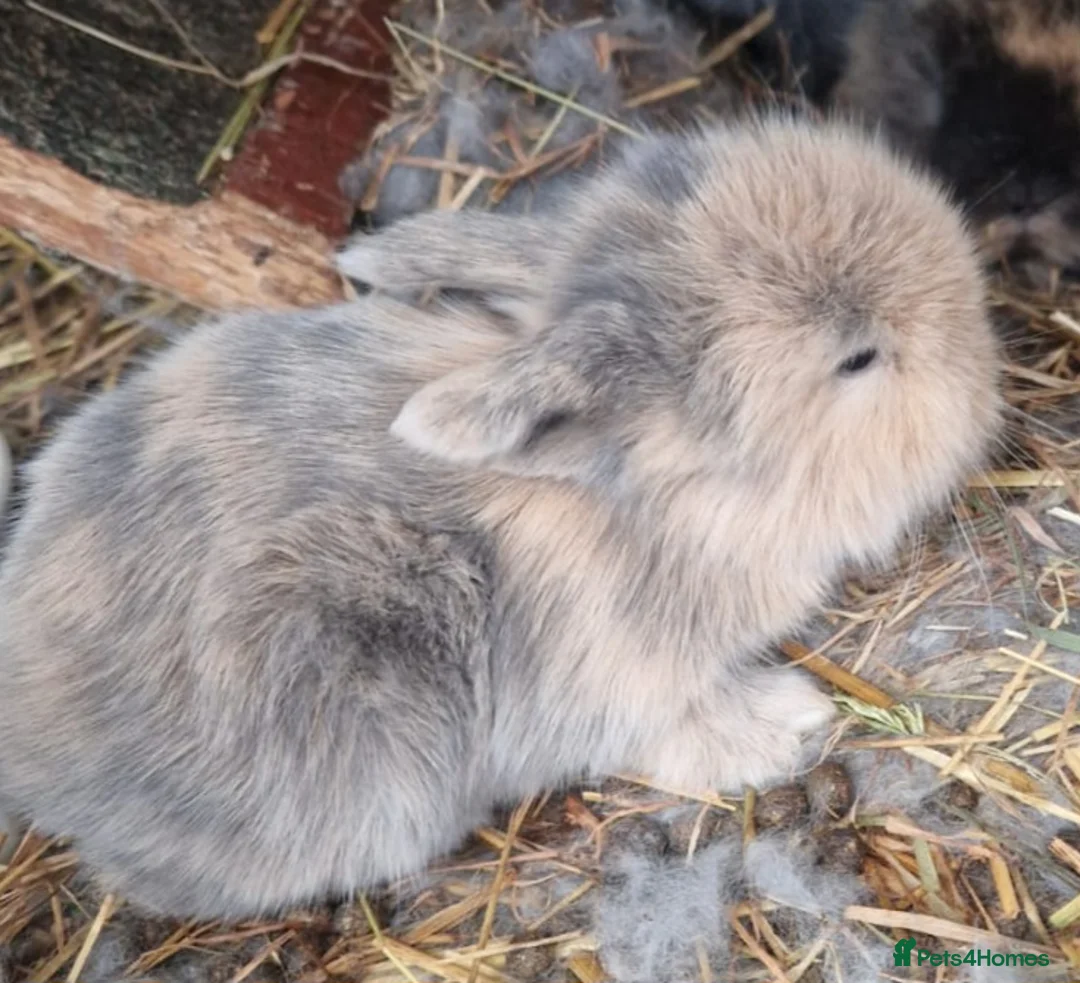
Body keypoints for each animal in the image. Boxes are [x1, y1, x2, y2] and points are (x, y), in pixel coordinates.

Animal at [0, 115, 1003, 921]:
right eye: (858, 358)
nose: (986, 352)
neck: (665, 498)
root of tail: (37, 761)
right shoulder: (615, 687)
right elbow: (673, 730)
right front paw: (790, 720)